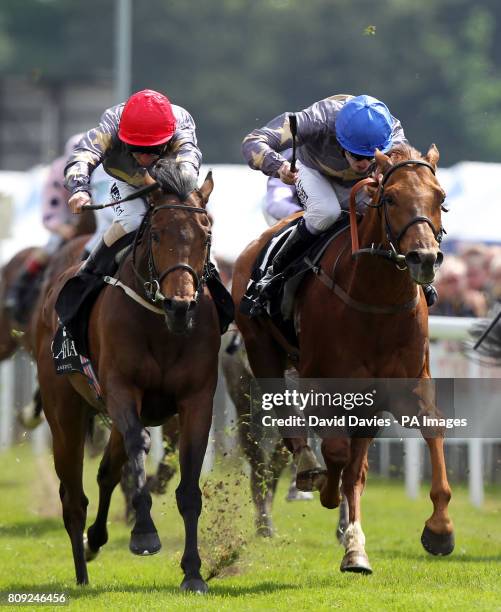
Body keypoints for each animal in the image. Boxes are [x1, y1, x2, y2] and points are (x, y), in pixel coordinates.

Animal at [36, 159, 220, 592]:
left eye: (205, 235)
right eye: (155, 234)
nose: (180, 306)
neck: (161, 326)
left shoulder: (197, 400)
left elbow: (188, 487)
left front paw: (193, 572)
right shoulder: (121, 390)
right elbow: (139, 448)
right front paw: (144, 534)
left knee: (106, 472)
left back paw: (96, 539)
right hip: (64, 412)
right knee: (74, 496)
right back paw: (82, 570)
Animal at [232, 143, 456, 572]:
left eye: (440, 197)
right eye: (390, 198)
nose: (424, 257)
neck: (376, 300)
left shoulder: (403, 384)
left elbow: (431, 430)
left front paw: (440, 530)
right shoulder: (320, 381)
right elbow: (335, 452)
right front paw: (324, 488)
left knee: (356, 467)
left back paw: (354, 546)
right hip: (260, 348)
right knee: (285, 421)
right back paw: (308, 469)